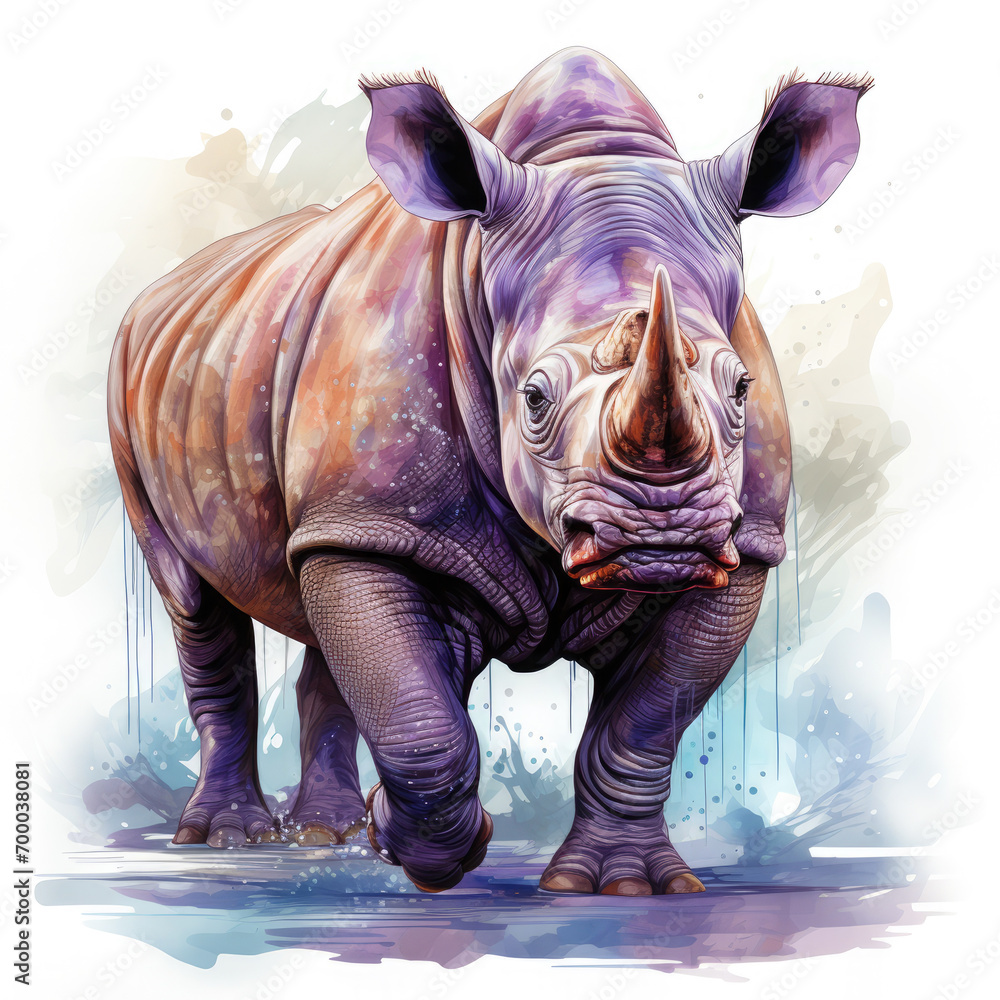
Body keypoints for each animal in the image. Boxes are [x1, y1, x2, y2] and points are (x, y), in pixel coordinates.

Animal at [108, 48, 870, 894]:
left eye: (740, 389)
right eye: (533, 398)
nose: (660, 535)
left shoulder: (747, 546)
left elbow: (640, 730)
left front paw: (622, 884)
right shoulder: (377, 514)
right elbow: (420, 725)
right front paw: (413, 843)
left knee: (309, 592)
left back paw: (321, 834)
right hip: (134, 376)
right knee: (194, 598)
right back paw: (228, 838)